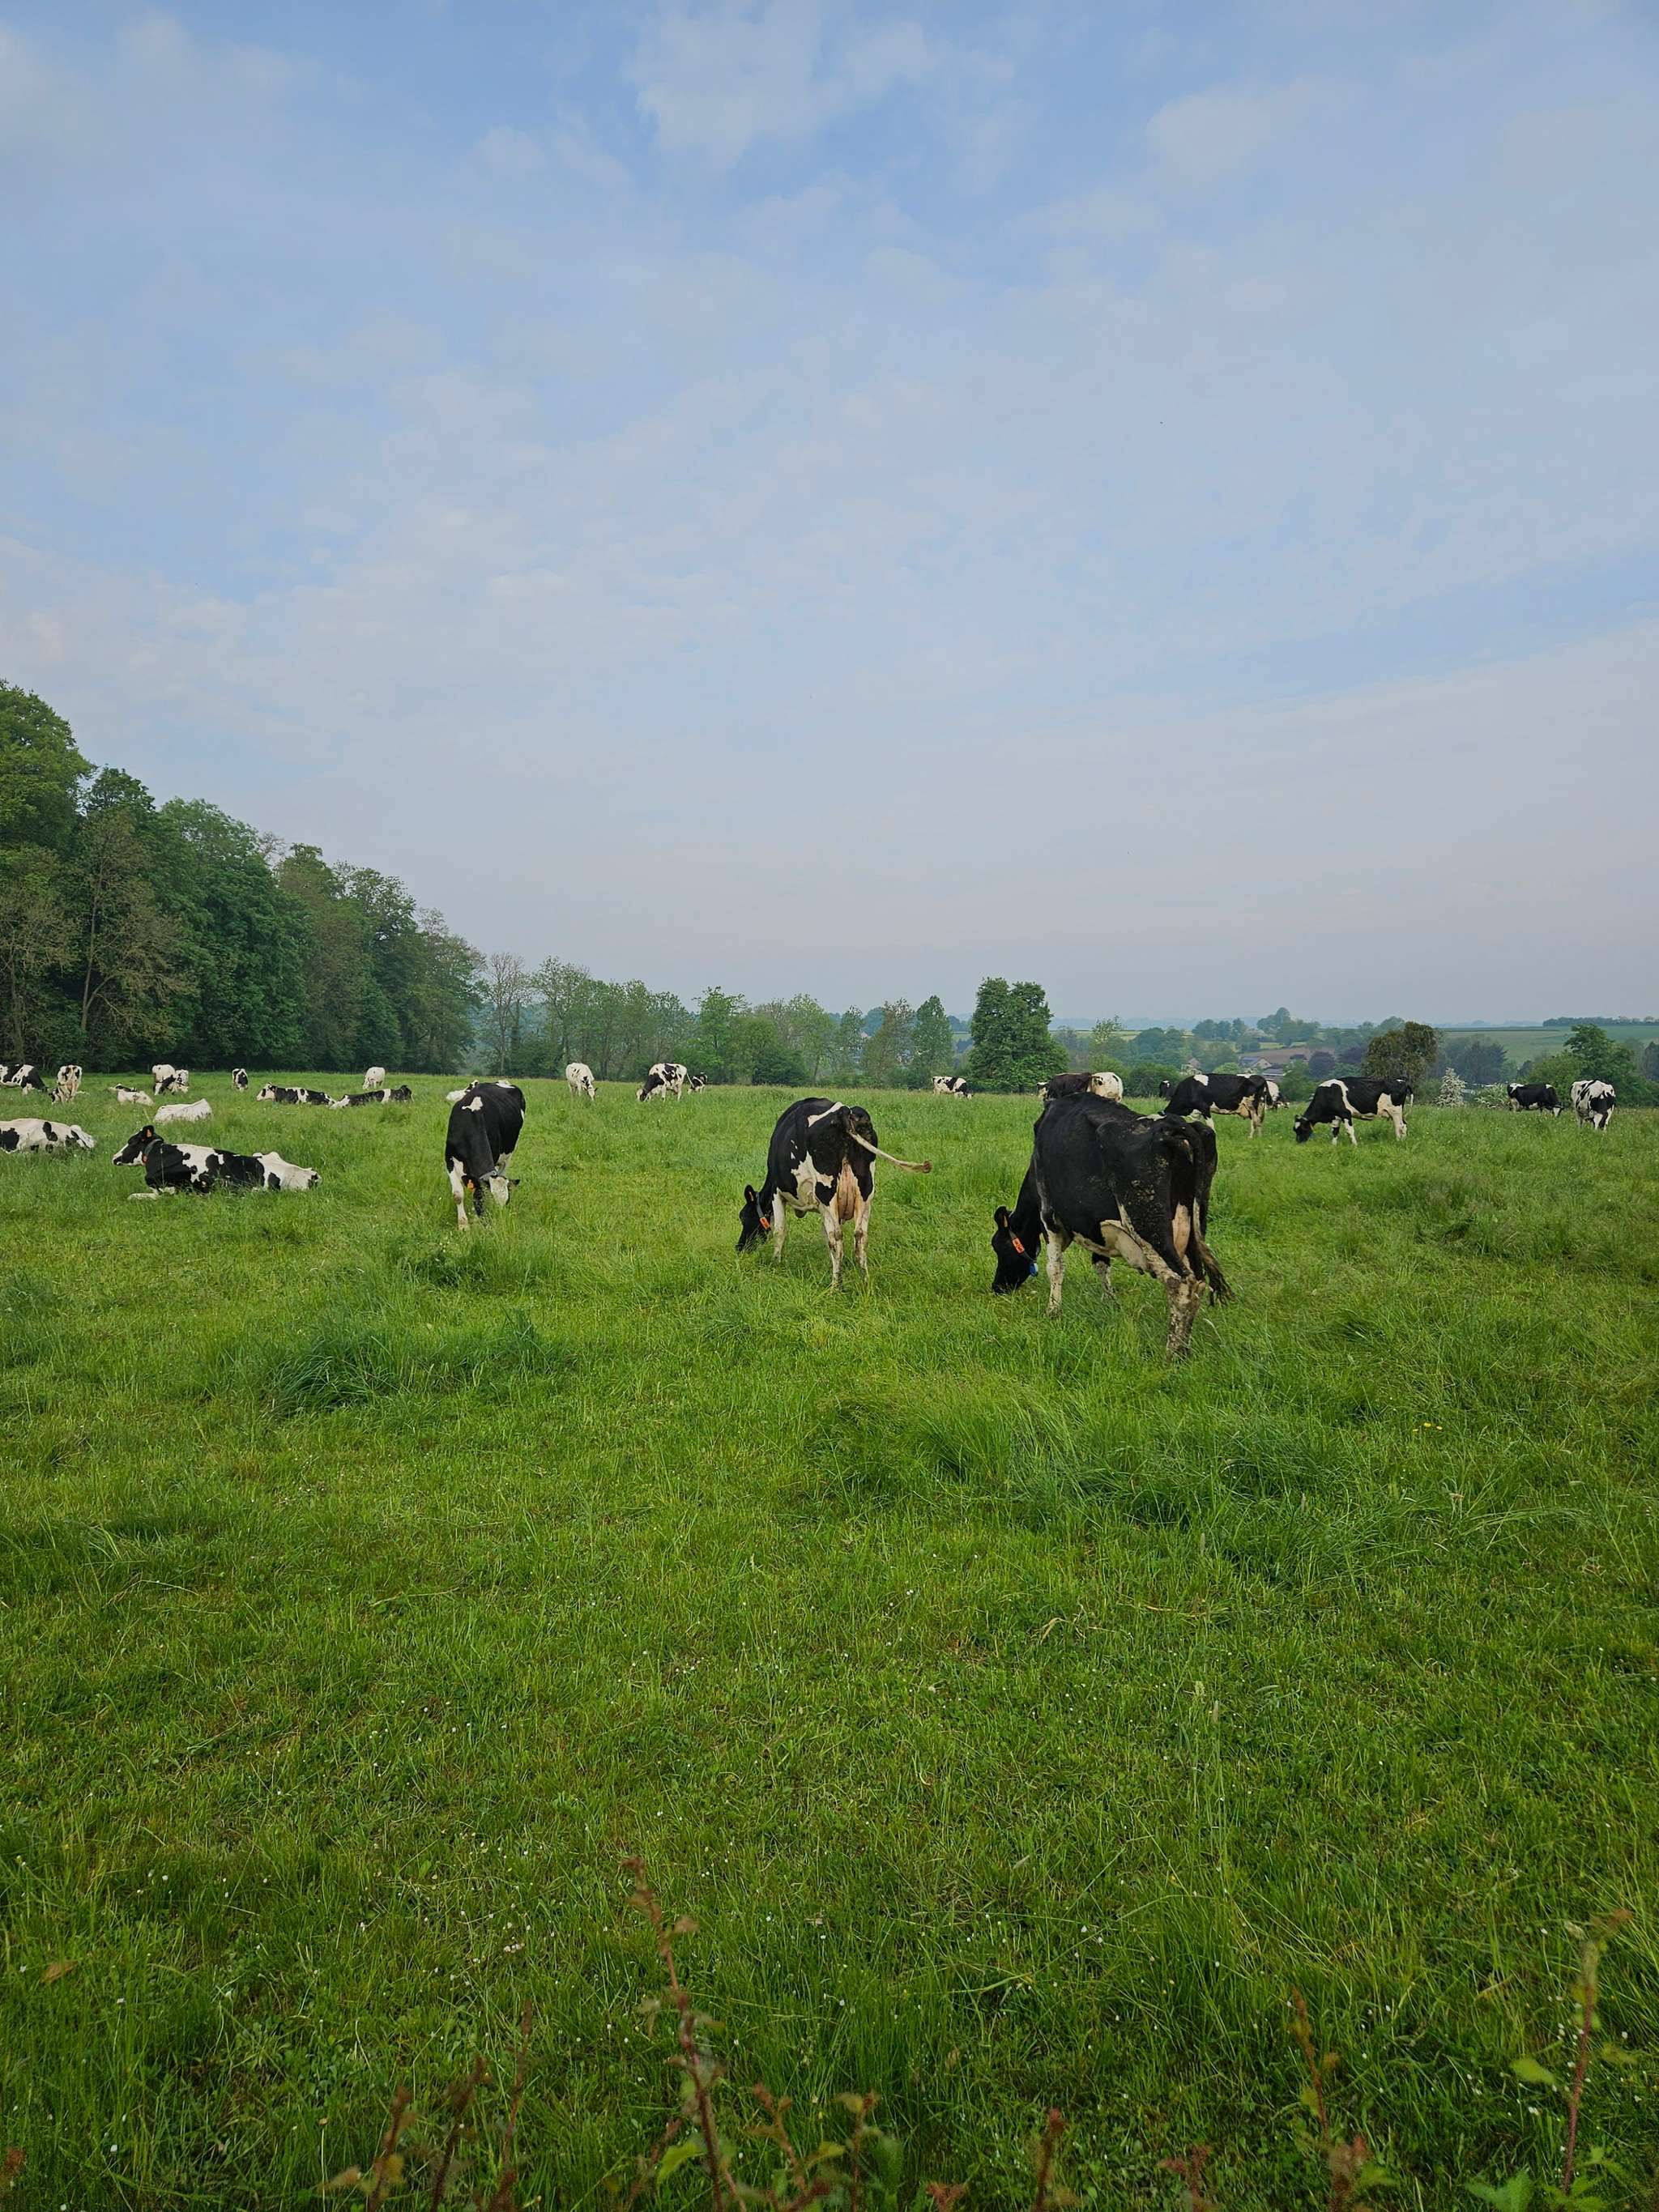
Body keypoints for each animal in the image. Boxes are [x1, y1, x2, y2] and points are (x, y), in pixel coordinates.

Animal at [444, 1080, 526, 1228]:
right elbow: (458, 1194)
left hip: (509, 1153)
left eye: (507, 1202)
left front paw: (476, 1220)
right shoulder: (449, 1159)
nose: (499, 1222)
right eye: (488, 1200)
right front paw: (463, 1225)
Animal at [737, 1097, 931, 1288]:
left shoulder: (778, 1193)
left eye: (743, 1217)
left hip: (826, 1191)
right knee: (860, 1236)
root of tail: (843, 1112)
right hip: (866, 1191)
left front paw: (776, 1263)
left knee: (836, 1237)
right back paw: (865, 1283)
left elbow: (780, 1230)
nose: (739, 1247)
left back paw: (836, 1286)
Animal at [990, 1092, 1229, 1359]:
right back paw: (1184, 1347)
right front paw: (1110, 1302)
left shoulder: (1049, 1216)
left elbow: (1055, 1266)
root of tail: (1173, 1125)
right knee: (1198, 1281)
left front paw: (1053, 1311)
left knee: (1181, 1283)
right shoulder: (1095, 1225)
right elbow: (1101, 1264)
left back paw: (1173, 1352)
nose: (997, 1287)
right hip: (1193, 1232)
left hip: (1147, 1225)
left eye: (999, 1248)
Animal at [1159, 1070, 1271, 1137]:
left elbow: (1210, 1125)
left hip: (1252, 1105)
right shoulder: (1197, 1112)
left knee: (1255, 1121)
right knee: (1259, 1121)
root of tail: (1262, 1078)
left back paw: (1251, 1137)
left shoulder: (1204, 1108)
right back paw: (1259, 1137)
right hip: (1259, 1106)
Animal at [1293, 1076, 1411, 1145]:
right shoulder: (1336, 1117)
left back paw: (1398, 1142)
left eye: (1302, 1129)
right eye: (1295, 1130)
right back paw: (1403, 1141)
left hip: (1395, 1111)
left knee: (1399, 1126)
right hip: (1397, 1112)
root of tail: (1401, 1081)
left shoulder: (1346, 1114)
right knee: (1403, 1125)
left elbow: (1350, 1131)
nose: (1299, 1143)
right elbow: (1335, 1131)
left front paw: (1354, 1145)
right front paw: (1333, 1145)